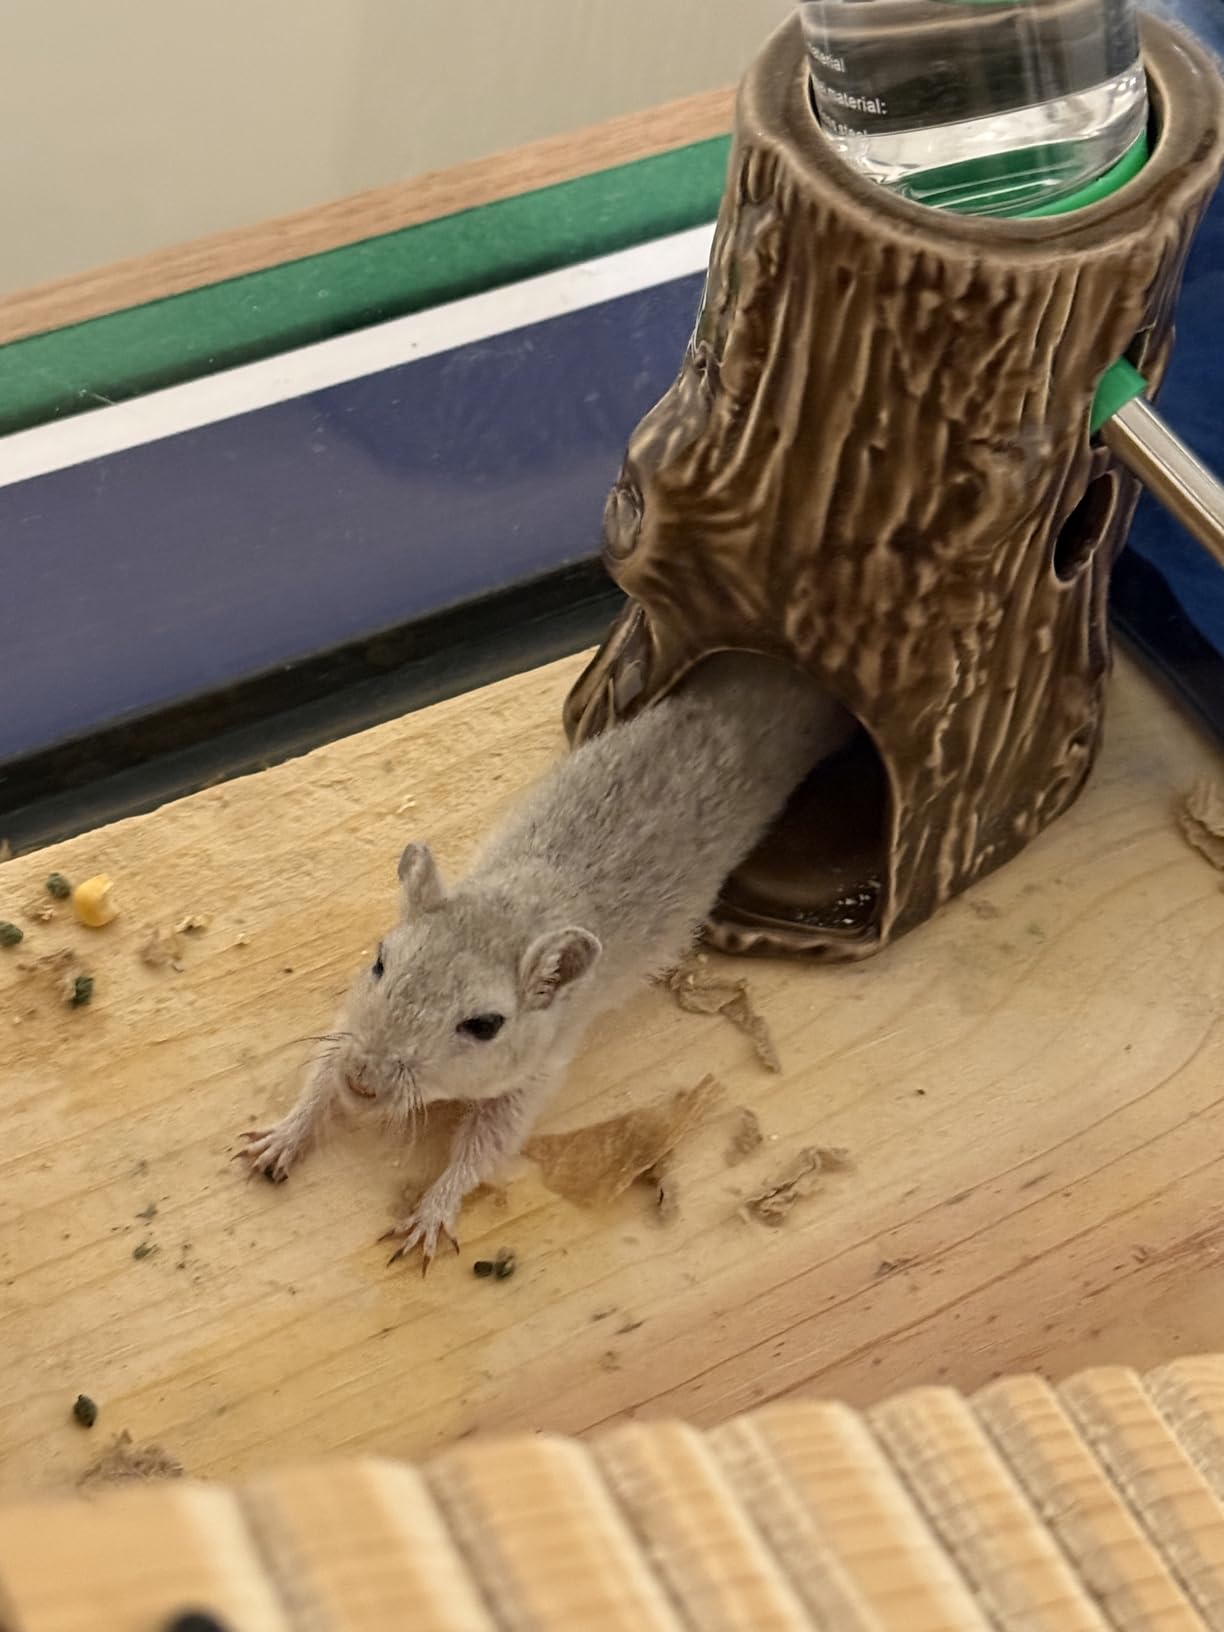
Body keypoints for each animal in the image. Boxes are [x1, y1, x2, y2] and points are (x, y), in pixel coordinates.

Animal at [239, 652, 852, 1267]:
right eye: (379, 961)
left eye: (485, 1025)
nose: (363, 1084)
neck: (520, 905)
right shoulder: (347, 1026)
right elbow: (320, 1073)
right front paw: (284, 1136)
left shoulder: (535, 1072)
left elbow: (484, 1148)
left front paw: (431, 1215)